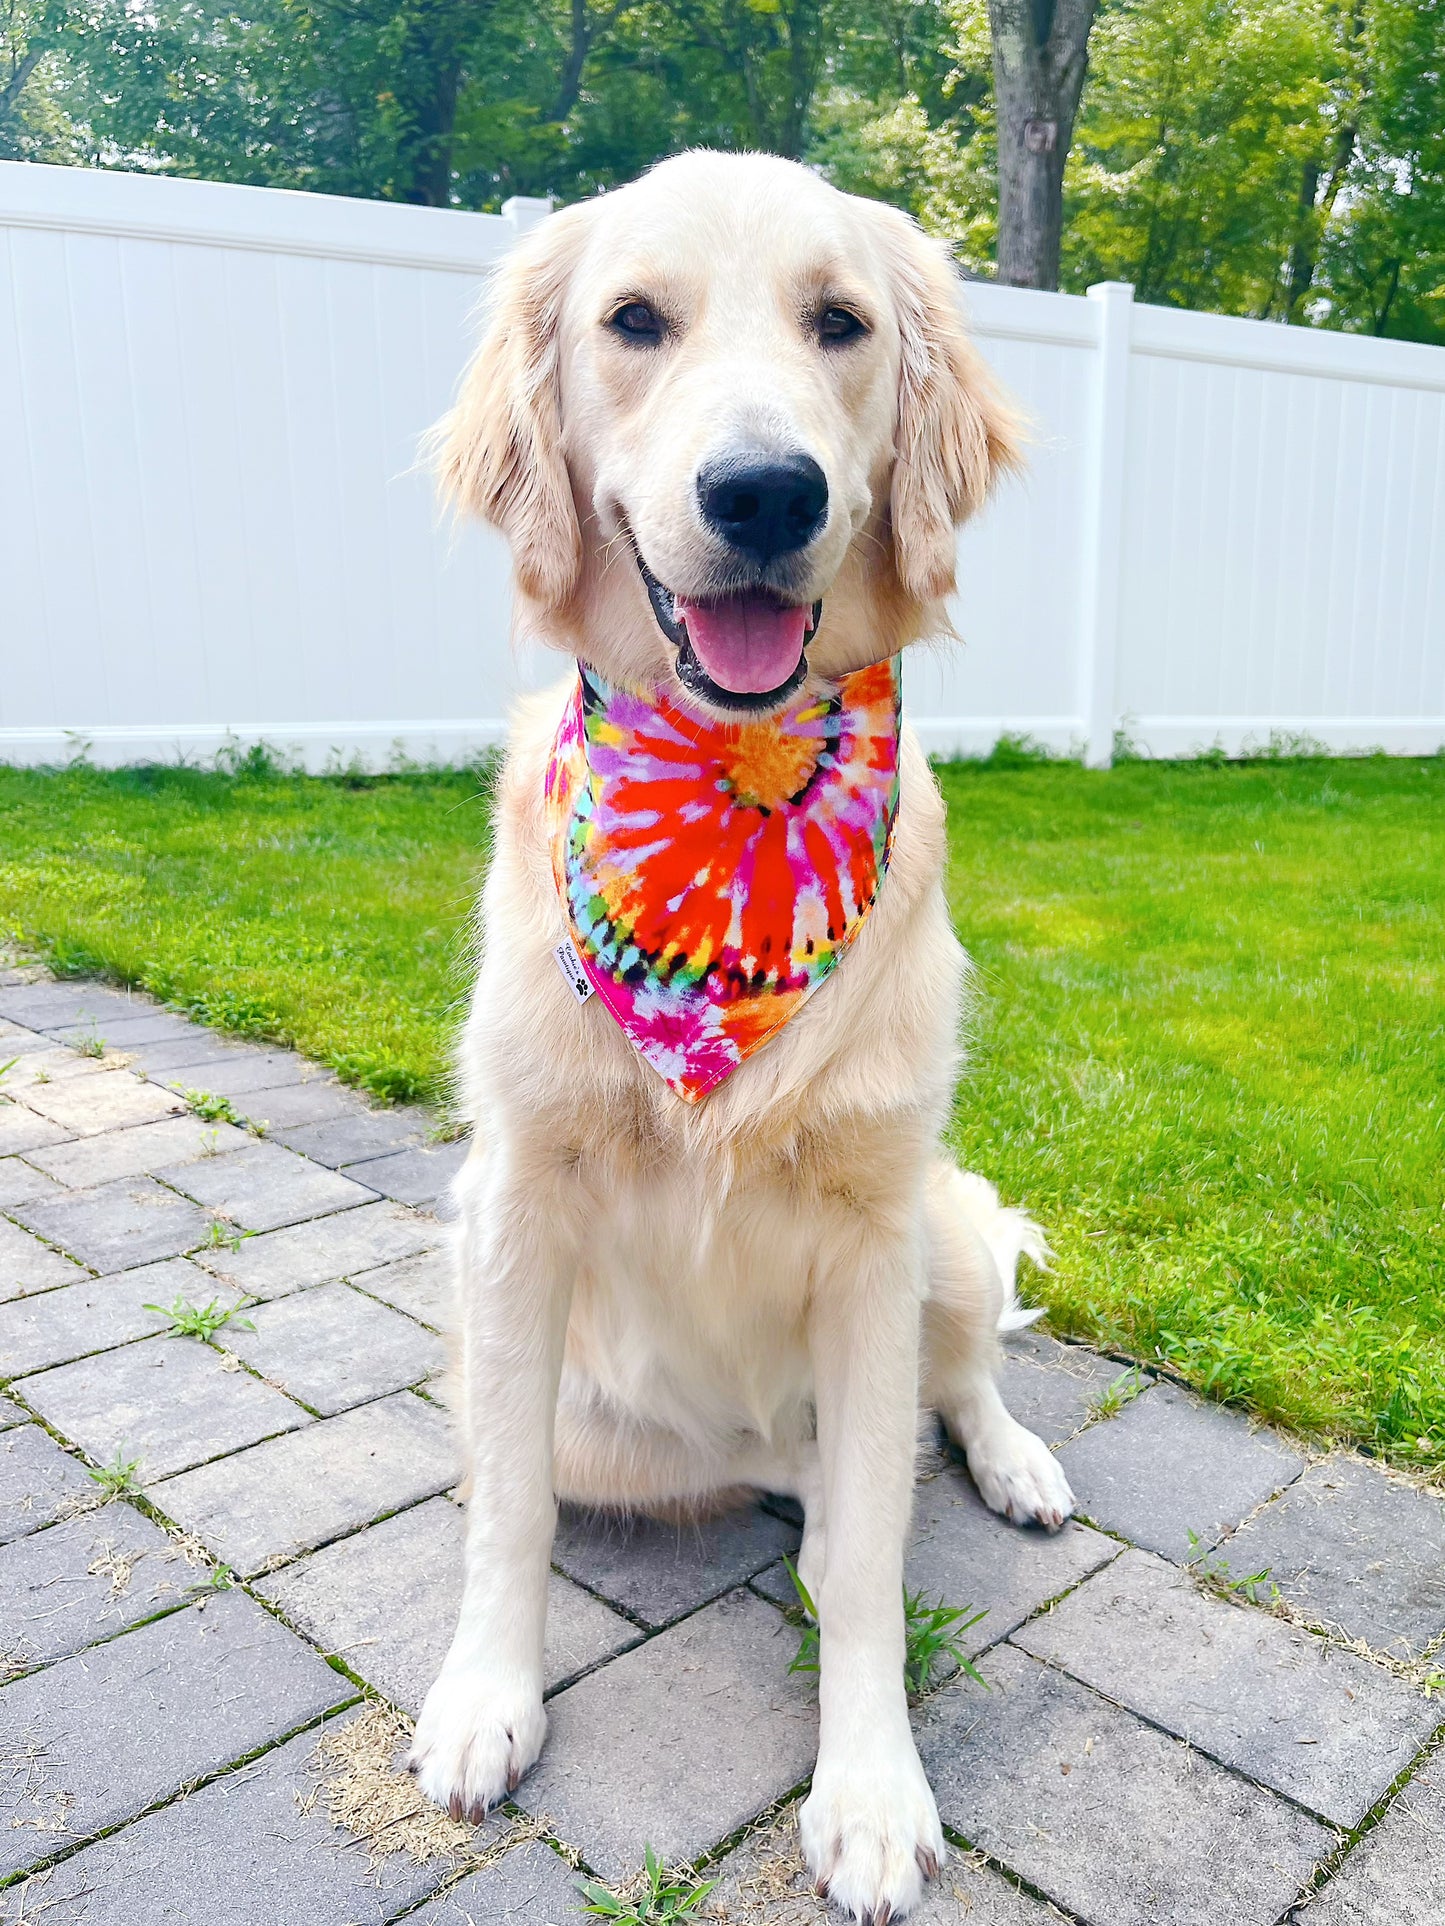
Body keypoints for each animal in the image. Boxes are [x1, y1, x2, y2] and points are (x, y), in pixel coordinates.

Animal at [410, 146, 1078, 1910]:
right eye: (634, 320)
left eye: (839, 322)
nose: (766, 493)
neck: (729, 808)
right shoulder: (512, 1204)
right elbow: (505, 1509)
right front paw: (484, 1697)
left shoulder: (872, 1226)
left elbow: (879, 1563)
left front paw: (870, 1789)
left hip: (945, 1224)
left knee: (944, 1398)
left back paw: (1012, 1464)